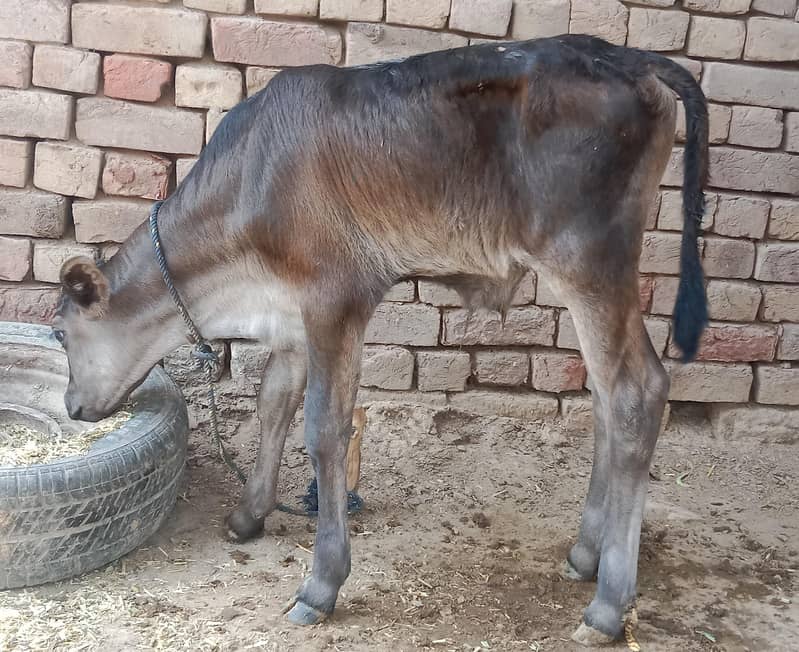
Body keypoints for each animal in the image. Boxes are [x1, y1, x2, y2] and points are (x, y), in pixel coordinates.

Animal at [51, 34, 708, 645]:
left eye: (59, 332)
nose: (71, 406)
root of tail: (625, 56)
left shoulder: (334, 295)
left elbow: (324, 428)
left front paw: (321, 584)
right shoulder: (290, 315)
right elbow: (273, 403)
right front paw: (249, 514)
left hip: (590, 261)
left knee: (636, 392)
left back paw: (607, 605)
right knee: (603, 396)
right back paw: (585, 555)